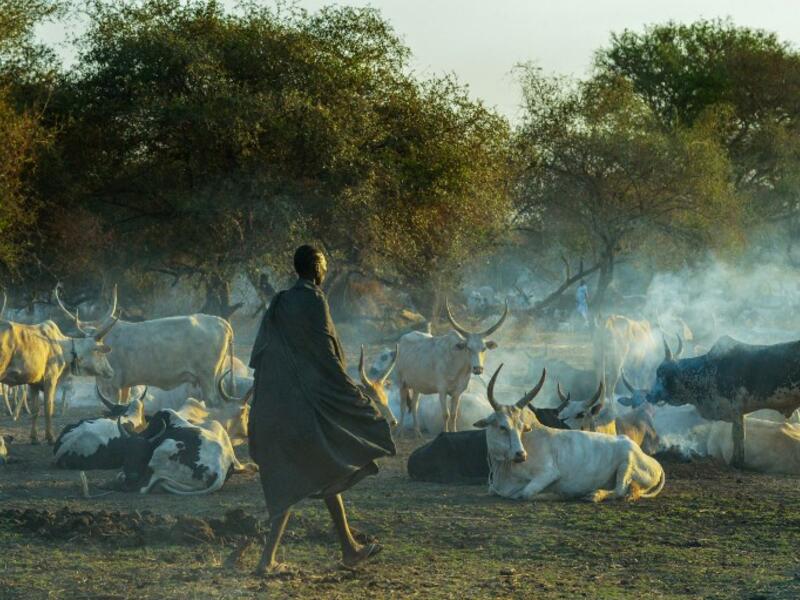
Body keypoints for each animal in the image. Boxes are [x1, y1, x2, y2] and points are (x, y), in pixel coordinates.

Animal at [116, 408, 253, 495]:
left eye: (144, 456)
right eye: (126, 454)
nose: (131, 476)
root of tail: (219, 473)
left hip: (165, 449)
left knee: (144, 487)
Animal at [396, 299, 508, 434]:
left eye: (484, 348)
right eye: (468, 348)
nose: (478, 369)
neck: (457, 367)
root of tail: (403, 338)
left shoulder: (458, 392)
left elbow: (454, 415)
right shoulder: (442, 390)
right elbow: (446, 414)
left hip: (417, 385)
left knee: (414, 405)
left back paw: (417, 432)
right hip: (402, 381)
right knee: (402, 406)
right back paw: (400, 431)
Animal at [475, 364, 665, 502]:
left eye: (522, 428)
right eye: (502, 427)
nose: (521, 454)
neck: (503, 469)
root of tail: (654, 462)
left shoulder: (548, 473)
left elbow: (525, 493)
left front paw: (558, 494)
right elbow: (494, 491)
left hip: (627, 463)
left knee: (619, 490)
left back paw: (594, 495)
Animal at [648, 335, 800, 468]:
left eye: (661, 372)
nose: (649, 395)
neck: (706, 371)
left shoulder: (736, 407)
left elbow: (738, 435)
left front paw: (737, 463)